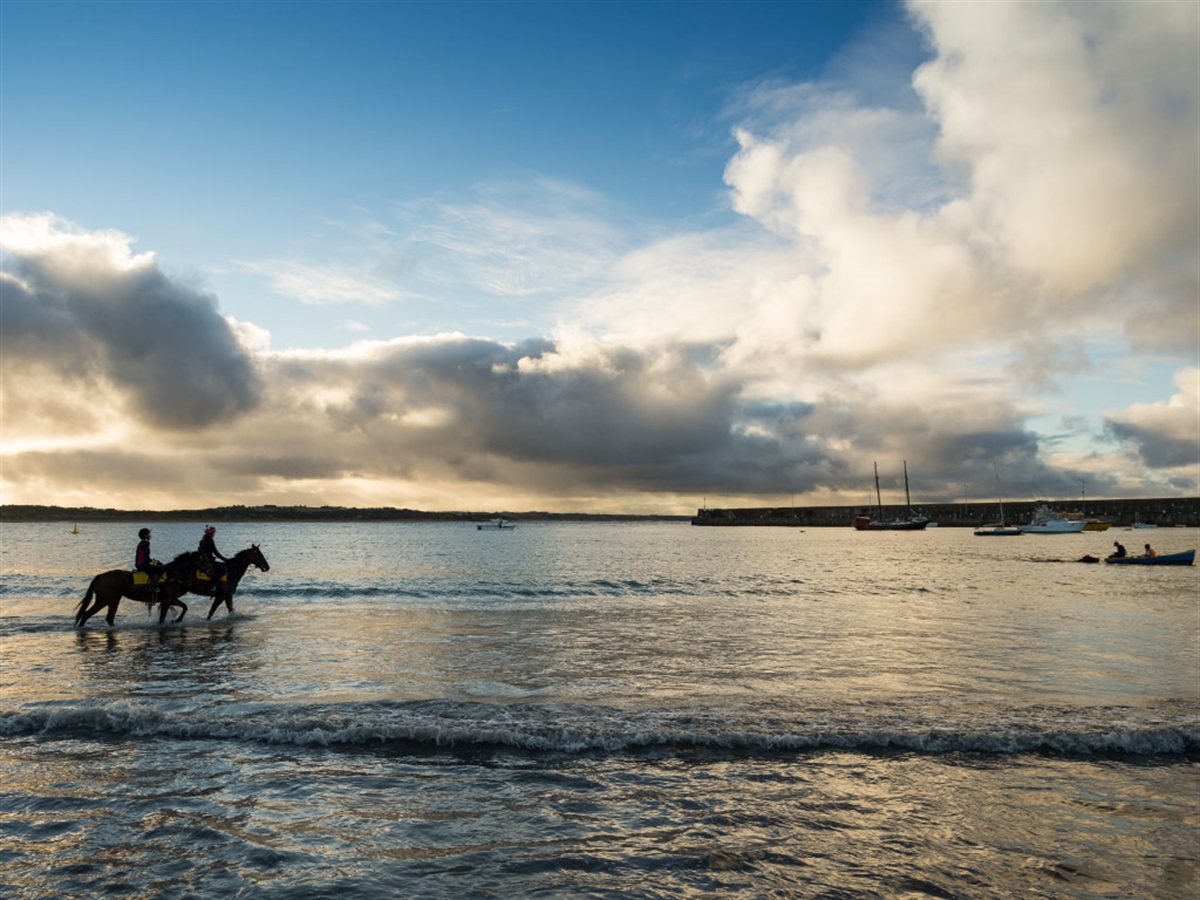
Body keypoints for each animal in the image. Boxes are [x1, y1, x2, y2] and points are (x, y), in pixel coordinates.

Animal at [74, 549, 213, 628]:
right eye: (203, 558)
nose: (211, 571)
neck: (173, 574)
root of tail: (101, 576)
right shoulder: (167, 601)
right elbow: (162, 618)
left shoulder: (170, 599)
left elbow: (185, 607)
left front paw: (177, 620)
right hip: (104, 600)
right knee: (86, 614)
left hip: (113, 600)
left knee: (108, 618)